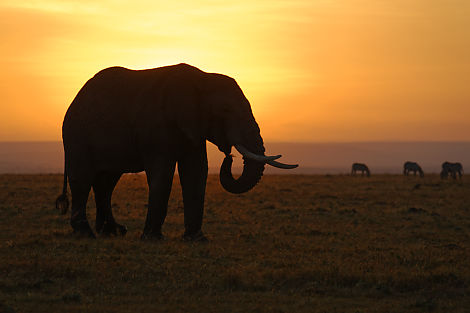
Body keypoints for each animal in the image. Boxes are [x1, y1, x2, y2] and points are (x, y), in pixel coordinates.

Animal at [56, 62, 298, 239]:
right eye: (225, 110)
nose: (229, 156)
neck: (202, 79)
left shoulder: (194, 129)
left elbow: (197, 171)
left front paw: (196, 239)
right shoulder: (157, 127)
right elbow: (162, 173)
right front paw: (152, 238)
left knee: (106, 182)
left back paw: (113, 232)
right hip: (77, 137)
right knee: (83, 178)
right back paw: (86, 233)